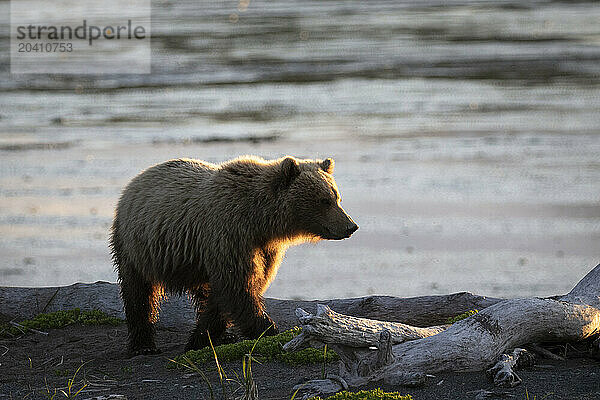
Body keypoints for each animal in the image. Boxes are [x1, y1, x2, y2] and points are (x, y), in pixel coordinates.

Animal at [109, 155, 356, 354]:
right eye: (324, 200)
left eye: (336, 197)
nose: (351, 226)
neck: (260, 220)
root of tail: (136, 181)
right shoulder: (229, 233)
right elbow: (237, 286)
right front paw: (268, 329)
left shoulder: (263, 248)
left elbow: (231, 291)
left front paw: (203, 337)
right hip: (136, 246)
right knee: (138, 292)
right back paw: (143, 344)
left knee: (203, 289)